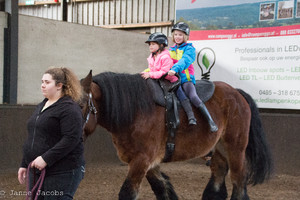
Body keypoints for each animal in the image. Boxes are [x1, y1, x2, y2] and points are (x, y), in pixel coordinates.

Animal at [81, 71, 274, 200]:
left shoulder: (142, 160)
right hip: (219, 146)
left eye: (82, 104)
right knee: (219, 172)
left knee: (238, 179)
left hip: (235, 147)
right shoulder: (149, 163)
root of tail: (237, 93)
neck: (136, 110)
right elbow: (162, 188)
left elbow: (128, 193)